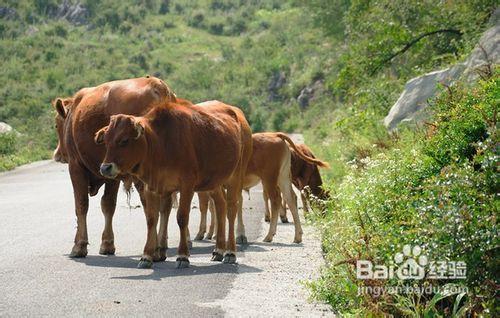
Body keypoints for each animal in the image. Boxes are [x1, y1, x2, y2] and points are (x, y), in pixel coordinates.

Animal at [54, 75, 176, 266]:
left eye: (56, 125)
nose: (58, 154)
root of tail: (157, 86)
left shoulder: (75, 167)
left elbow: (81, 205)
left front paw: (79, 245)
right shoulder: (111, 173)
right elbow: (108, 205)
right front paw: (107, 244)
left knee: (151, 207)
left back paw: (151, 252)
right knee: (165, 205)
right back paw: (161, 248)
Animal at [96, 99, 254, 266]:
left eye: (124, 140)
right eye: (106, 141)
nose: (105, 168)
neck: (161, 142)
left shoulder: (187, 185)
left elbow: (182, 217)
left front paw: (183, 255)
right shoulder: (153, 187)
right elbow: (152, 219)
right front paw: (148, 255)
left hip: (236, 176)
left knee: (231, 210)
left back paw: (230, 252)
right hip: (213, 182)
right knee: (220, 206)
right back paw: (219, 250)